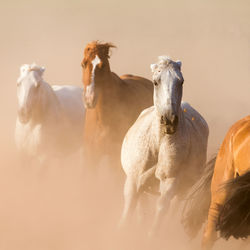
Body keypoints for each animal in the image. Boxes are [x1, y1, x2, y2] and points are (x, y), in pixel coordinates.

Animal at [120, 55, 210, 233]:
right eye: (156, 82)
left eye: (181, 81)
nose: (169, 120)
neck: (158, 142)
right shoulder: (133, 180)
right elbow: (127, 214)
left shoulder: (170, 182)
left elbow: (160, 214)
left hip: (181, 190)